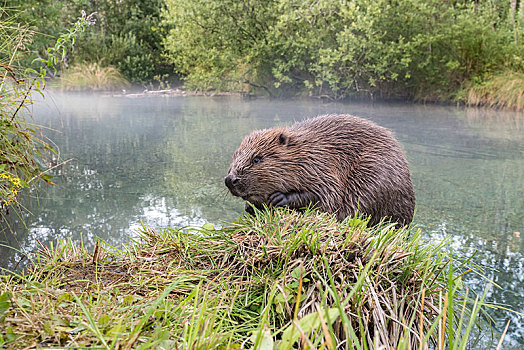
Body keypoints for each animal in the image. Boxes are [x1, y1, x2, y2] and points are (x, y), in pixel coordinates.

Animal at [223, 113, 416, 226]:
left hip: (372, 177)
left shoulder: (321, 165)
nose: (230, 179)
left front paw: (279, 198)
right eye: (235, 155)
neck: (306, 151)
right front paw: (250, 206)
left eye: (257, 159)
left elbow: (327, 195)